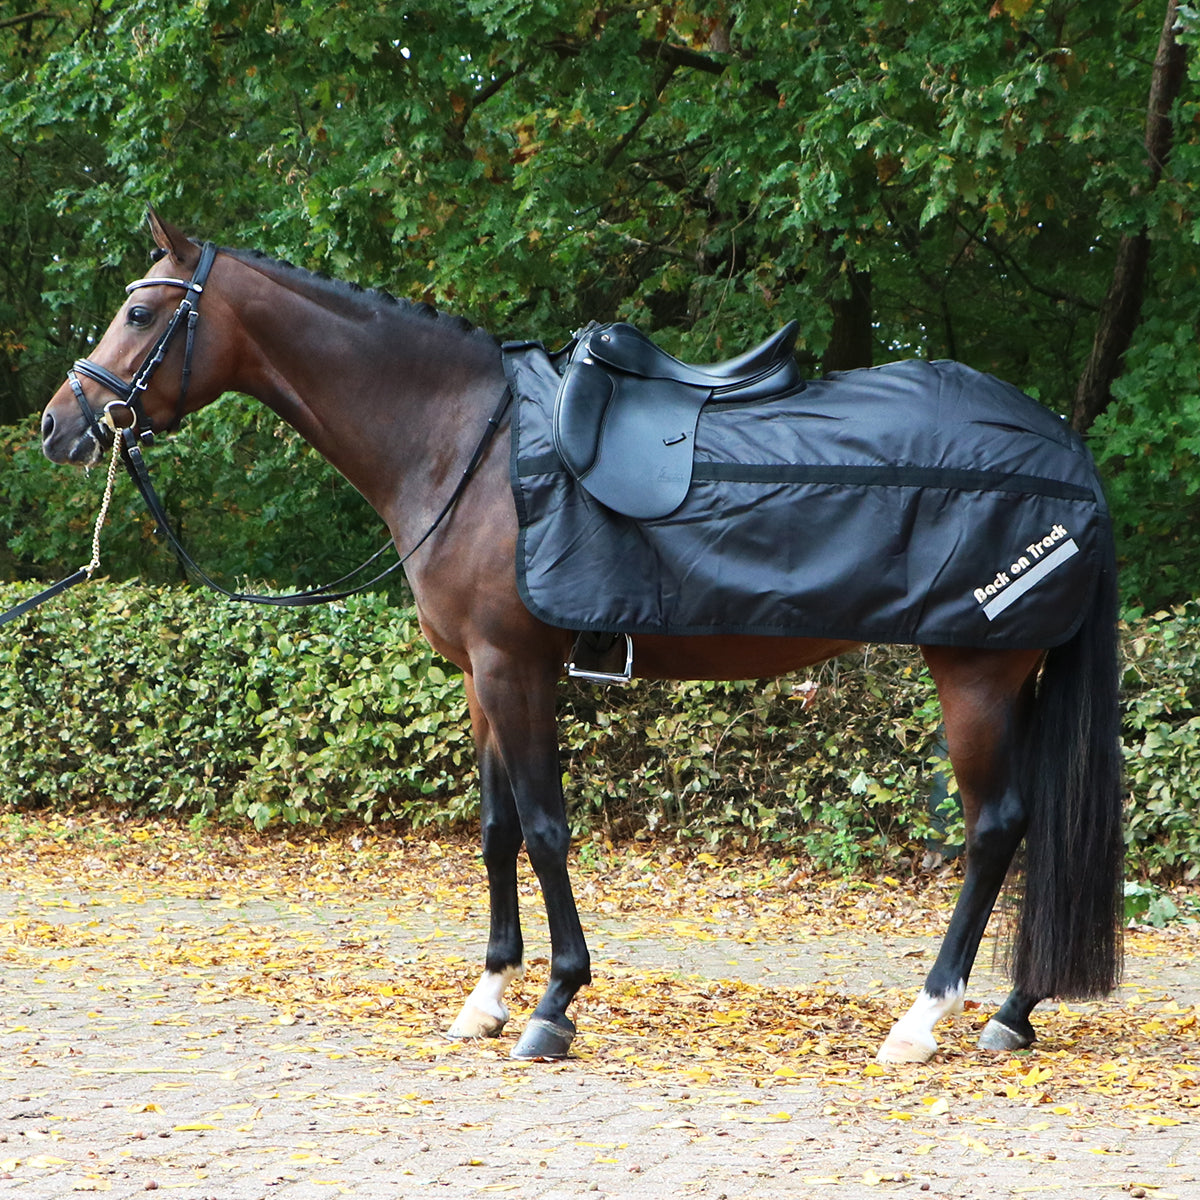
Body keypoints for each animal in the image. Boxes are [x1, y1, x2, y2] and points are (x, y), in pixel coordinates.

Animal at [39, 216, 1123, 1060]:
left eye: (142, 314)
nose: (60, 424)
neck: (461, 443)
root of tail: (1067, 453)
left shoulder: (514, 669)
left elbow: (549, 830)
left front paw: (554, 1006)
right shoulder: (479, 679)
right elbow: (497, 832)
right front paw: (487, 997)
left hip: (975, 676)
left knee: (996, 829)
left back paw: (926, 1018)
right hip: (1012, 678)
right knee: (1034, 828)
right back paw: (1014, 1011)